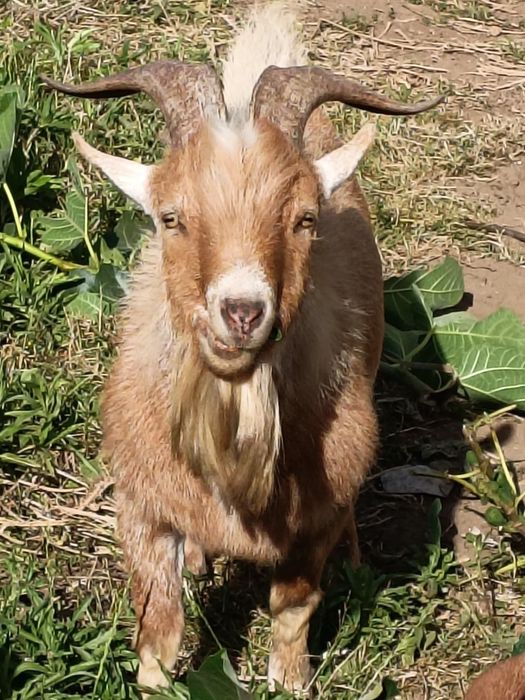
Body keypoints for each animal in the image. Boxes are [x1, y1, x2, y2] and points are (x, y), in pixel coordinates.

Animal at [43, 6, 443, 696]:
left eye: (305, 218)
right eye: (170, 217)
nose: (242, 311)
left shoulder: (315, 518)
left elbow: (293, 608)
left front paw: (290, 680)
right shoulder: (140, 505)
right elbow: (159, 620)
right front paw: (156, 681)